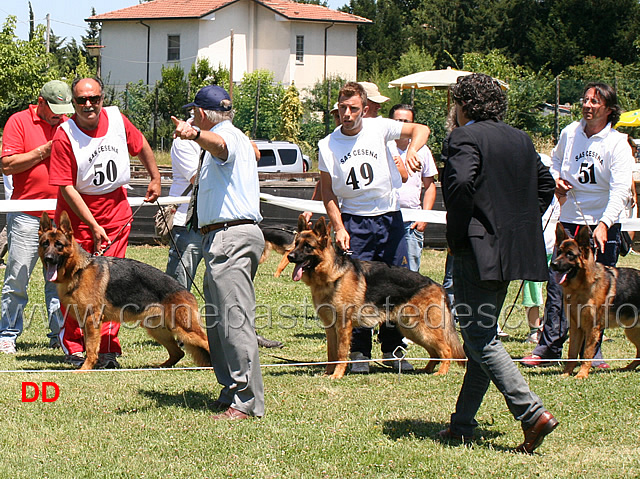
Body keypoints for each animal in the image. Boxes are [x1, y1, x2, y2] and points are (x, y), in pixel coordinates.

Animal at [38, 211, 211, 372]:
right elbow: (88, 346)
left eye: (59, 245)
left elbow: (91, 348)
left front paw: (85, 370)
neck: (78, 269)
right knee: (178, 353)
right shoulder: (84, 322)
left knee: (206, 343)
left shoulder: (92, 320)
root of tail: (185, 291)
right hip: (156, 329)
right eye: (45, 244)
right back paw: (159, 367)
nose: (48, 258)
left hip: (185, 329)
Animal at [288, 217, 462, 378]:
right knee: (434, 352)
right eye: (296, 243)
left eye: (307, 246)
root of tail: (437, 285)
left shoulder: (343, 326)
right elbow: (331, 353)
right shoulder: (330, 327)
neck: (332, 274)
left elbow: (341, 353)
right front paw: (327, 373)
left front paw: (337, 375)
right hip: (412, 330)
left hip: (422, 329)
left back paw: (441, 372)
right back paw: (426, 370)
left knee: (446, 350)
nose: (290, 256)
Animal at [552, 222, 640, 378]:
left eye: (570, 254)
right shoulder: (576, 327)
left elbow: (587, 353)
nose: (553, 264)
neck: (581, 286)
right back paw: (628, 367)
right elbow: (572, 352)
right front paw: (566, 374)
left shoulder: (592, 328)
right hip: (632, 331)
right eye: (559, 252)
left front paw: (581, 375)